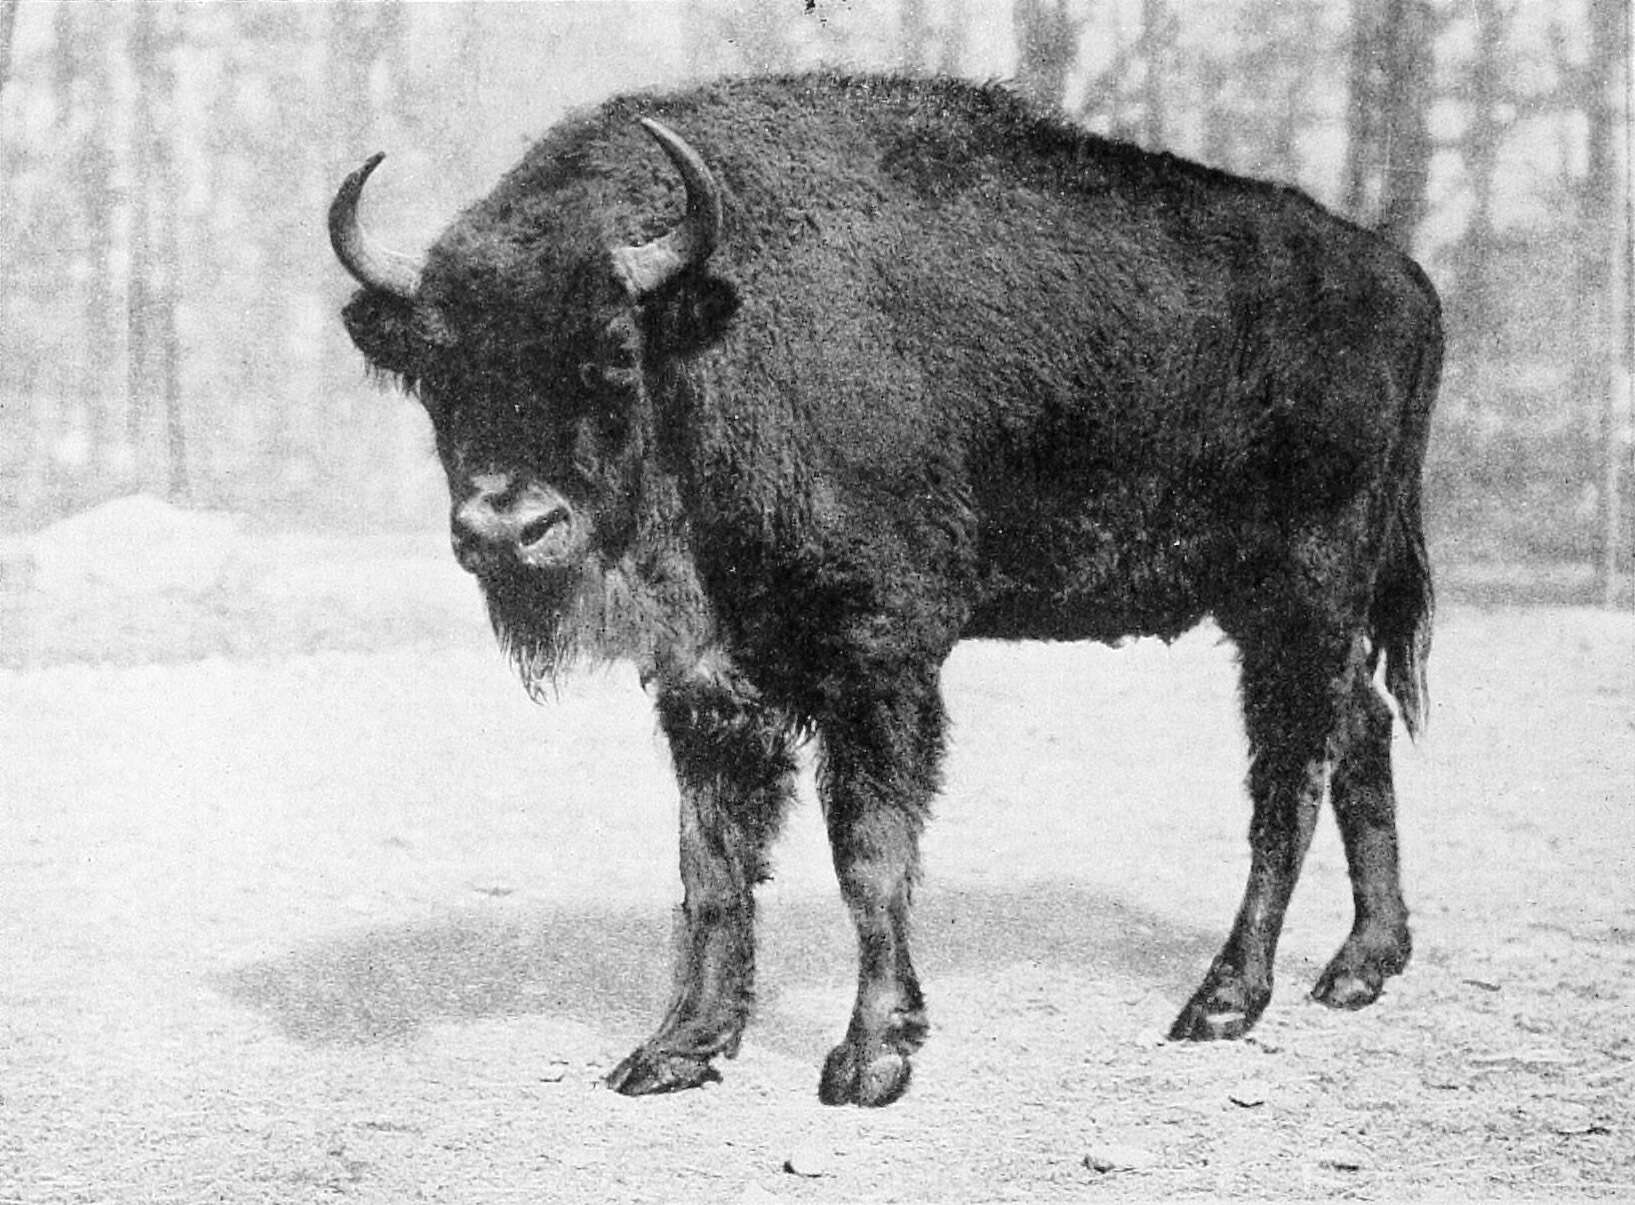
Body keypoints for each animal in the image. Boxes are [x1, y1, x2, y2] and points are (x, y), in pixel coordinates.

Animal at [331, 72, 1445, 1111]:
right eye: (435, 366)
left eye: (612, 353)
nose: (505, 527)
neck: (711, 334)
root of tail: (1405, 281)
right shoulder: (706, 679)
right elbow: (711, 866)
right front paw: (674, 1051)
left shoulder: (879, 655)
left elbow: (867, 852)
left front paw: (869, 1058)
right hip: (1289, 609)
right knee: (1359, 728)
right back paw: (1361, 968)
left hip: (1300, 595)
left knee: (1286, 781)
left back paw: (1223, 1001)